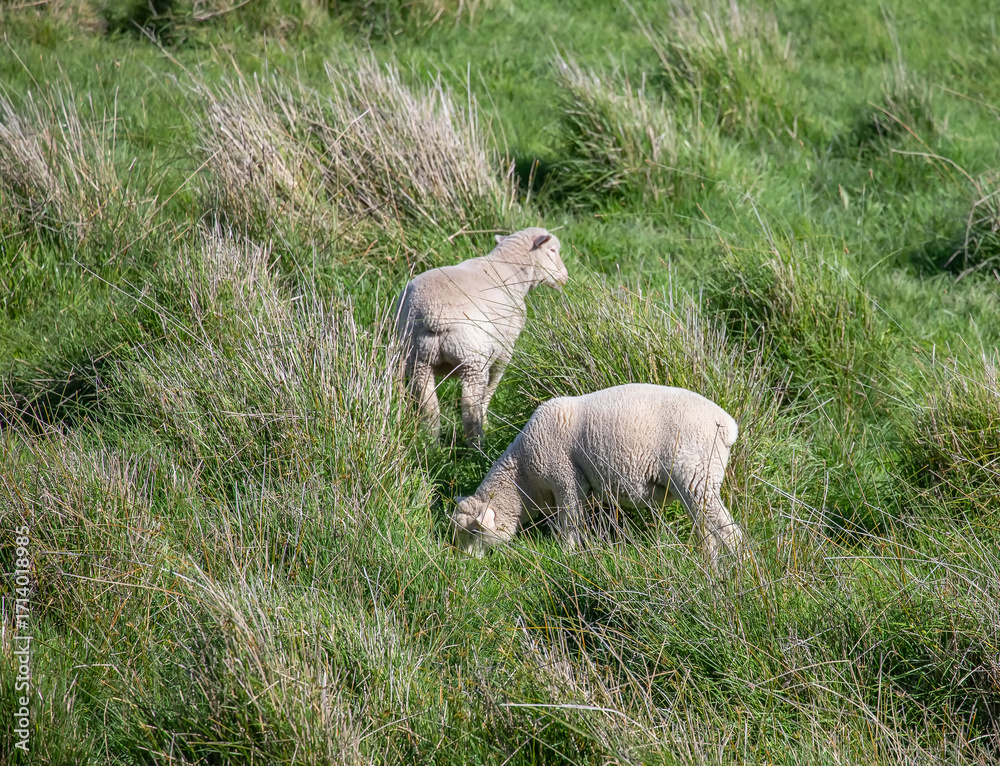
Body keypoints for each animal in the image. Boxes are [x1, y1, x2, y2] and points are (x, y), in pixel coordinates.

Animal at [394, 227, 568, 446]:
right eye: (553, 250)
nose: (565, 276)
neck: (508, 268)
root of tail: (434, 315)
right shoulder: (506, 345)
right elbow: (494, 382)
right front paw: (487, 420)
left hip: (416, 358)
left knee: (429, 407)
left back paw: (431, 444)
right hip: (471, 358)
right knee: (470, 405)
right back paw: (477, 444)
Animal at [451, 383, 745, 568]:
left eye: (472, 532)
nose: (465, 564)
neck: (523, 478)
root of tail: (727, 426)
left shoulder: (566, 481)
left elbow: (569, 523)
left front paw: (568, 555)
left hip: (697, 473)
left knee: (730, 533)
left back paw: (741, 569)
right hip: (695, 483)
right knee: (707, 528)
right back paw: (710, 566)